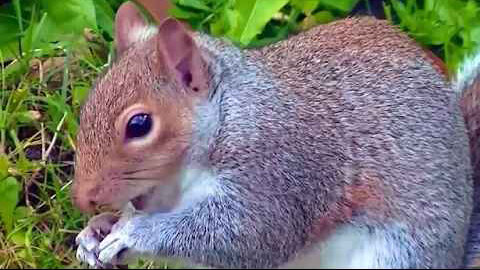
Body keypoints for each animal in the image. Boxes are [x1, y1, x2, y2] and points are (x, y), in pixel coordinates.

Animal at [71, 1, 480, 268]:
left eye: (139, 125)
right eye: (86, 106)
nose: (83, 199)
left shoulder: (281, 169)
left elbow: (247, 233)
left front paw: (133, 233)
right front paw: (96, 231)